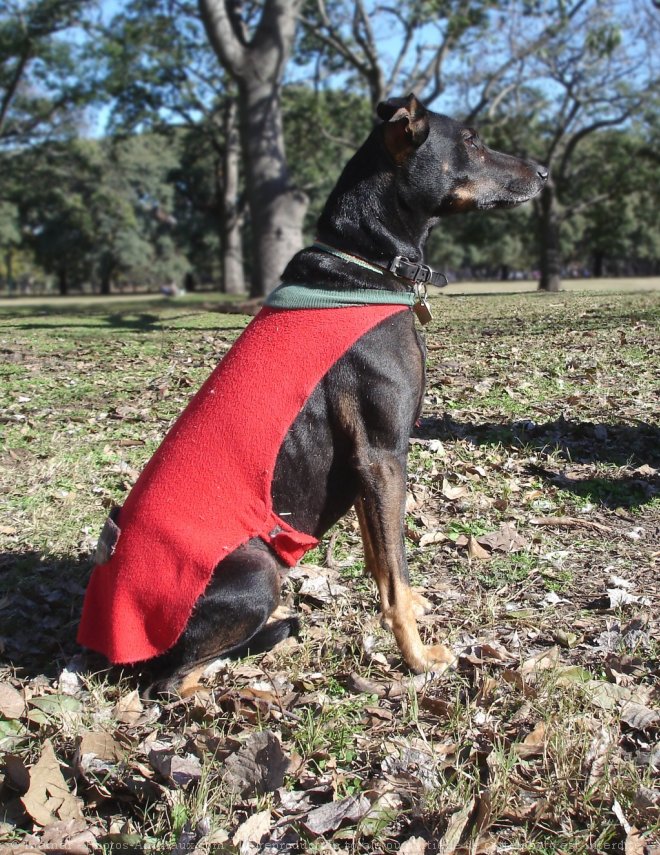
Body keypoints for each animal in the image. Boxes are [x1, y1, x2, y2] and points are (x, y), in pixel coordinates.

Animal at [77, 93, 548, 696]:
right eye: (471, 141)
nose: (544, 173)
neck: (365, 260)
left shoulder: (366, 468)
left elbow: (383, 562)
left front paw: (411, 608)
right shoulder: (382, 454)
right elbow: (393, 569)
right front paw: (418, 658)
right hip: (255, 571)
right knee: (174, 680)